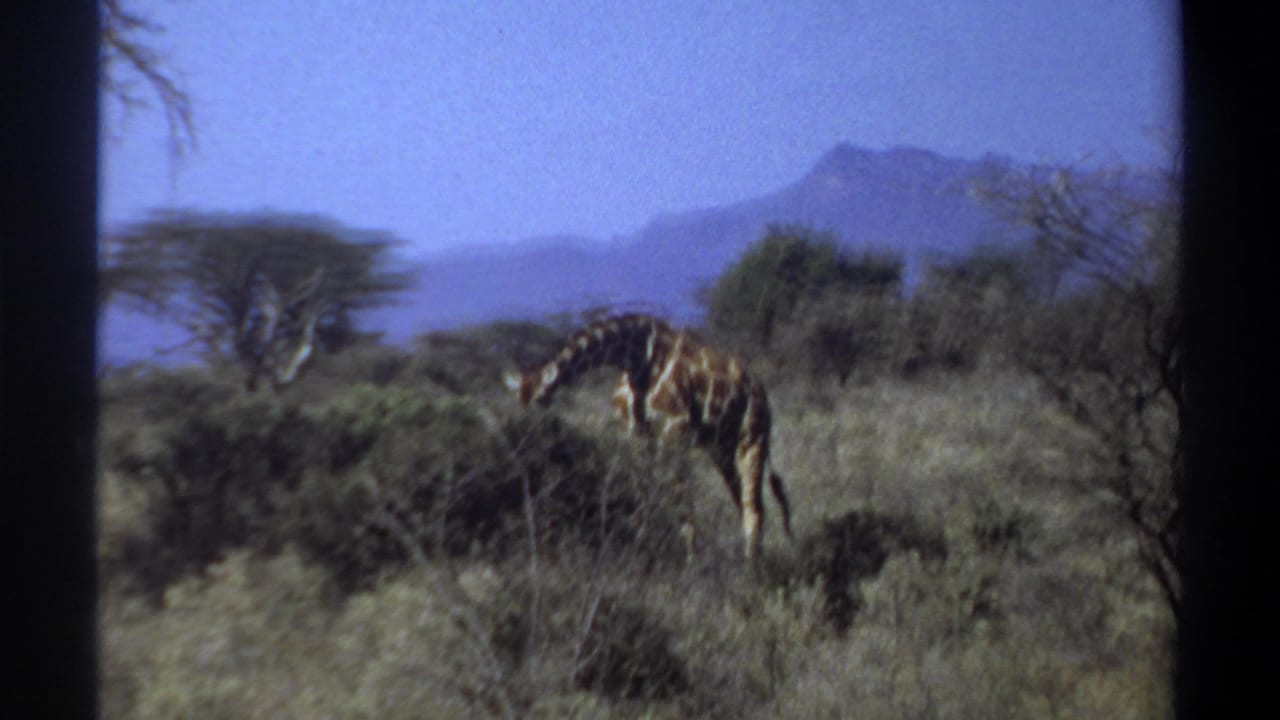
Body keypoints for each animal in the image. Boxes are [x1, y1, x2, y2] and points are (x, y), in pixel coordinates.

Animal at [504, 314, 793, 562]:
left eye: (537, 399)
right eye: (519, 400)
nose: (525, 436)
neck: (635, 358)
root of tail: (759, 388)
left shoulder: (674, 433)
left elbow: (683, 505)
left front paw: (692, 563)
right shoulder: (636, 437)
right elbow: (643, 496)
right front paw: (645, 549)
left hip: (752, 438)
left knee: (755, 508)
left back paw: (751, 570)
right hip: (722, 448)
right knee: (743, 503)